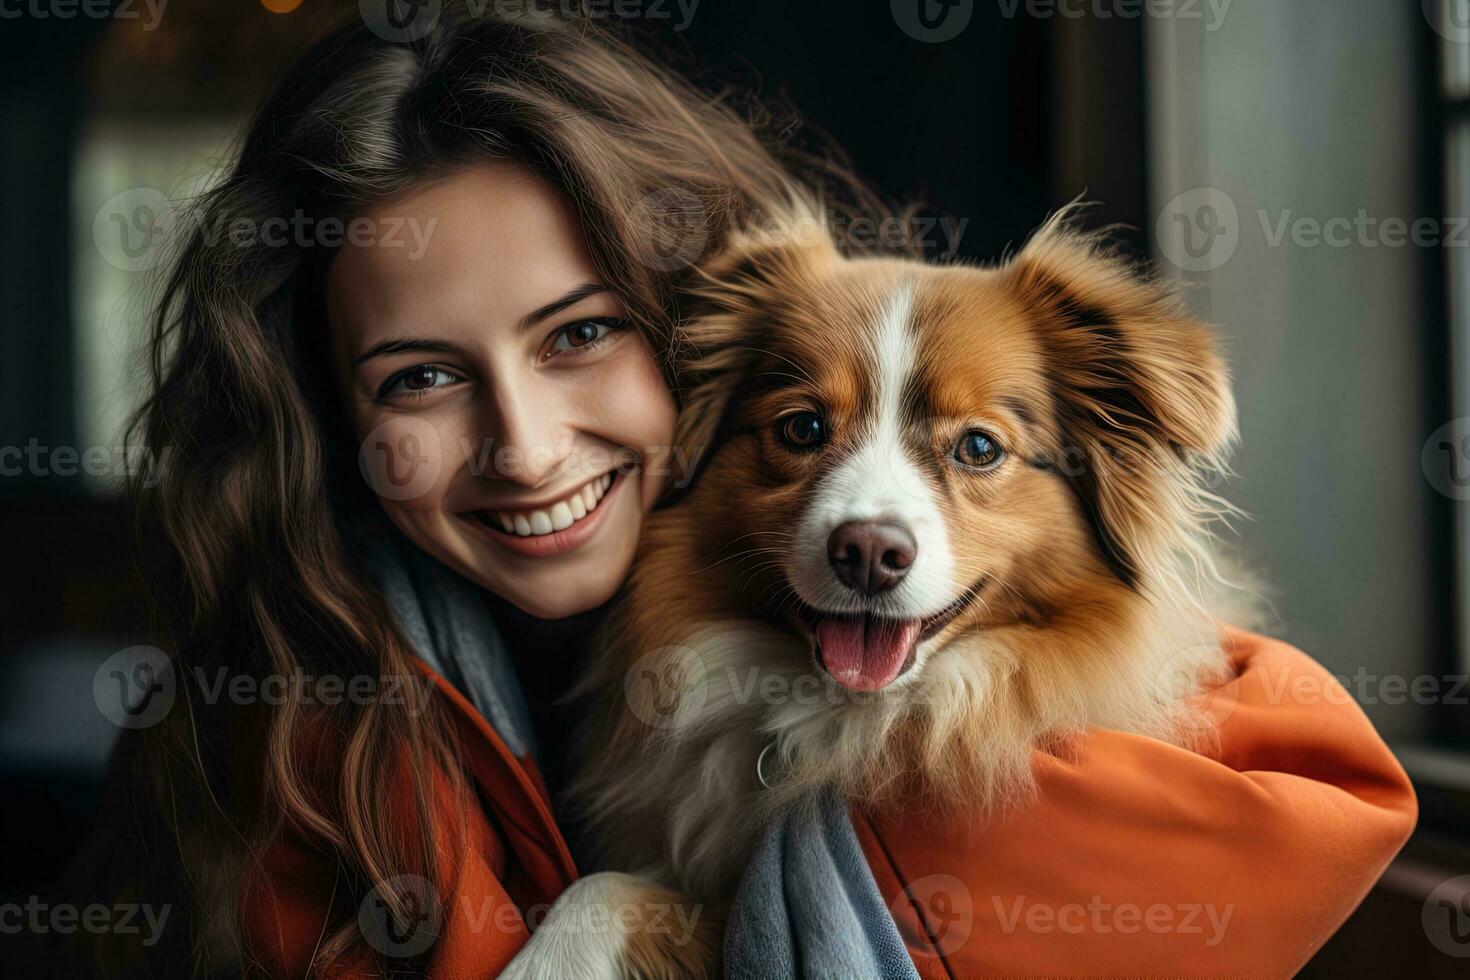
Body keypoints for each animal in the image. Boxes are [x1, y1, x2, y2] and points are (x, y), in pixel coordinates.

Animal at [502, 202, 1240, 975]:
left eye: (979, 447)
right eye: (802, 427)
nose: (868, 554)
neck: (850, 717)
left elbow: (612, 888)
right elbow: (602, 884)